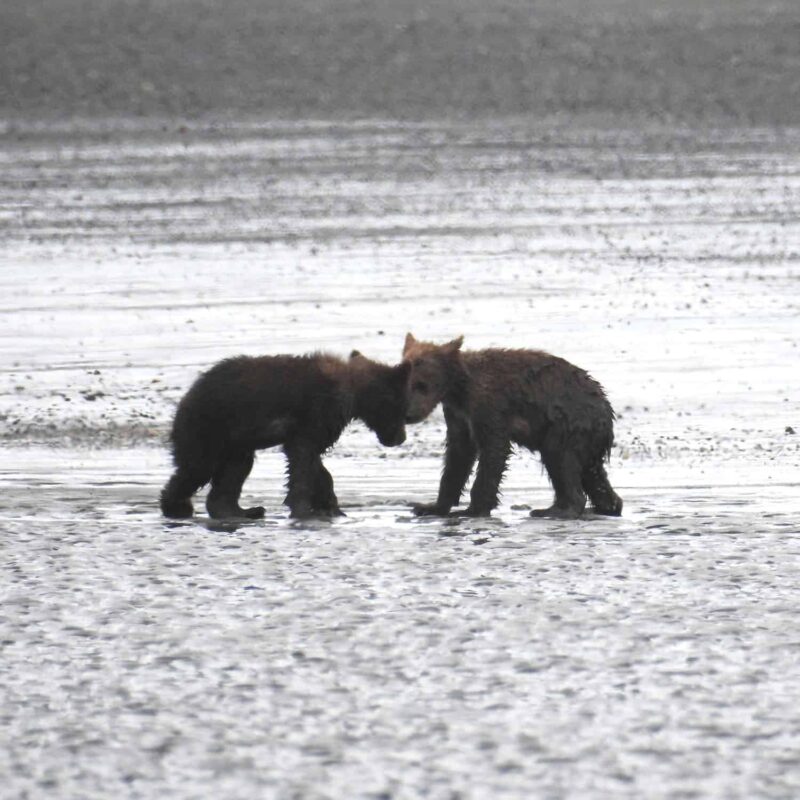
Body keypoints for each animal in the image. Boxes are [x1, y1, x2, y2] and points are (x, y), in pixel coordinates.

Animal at [160, 351, 410, 520]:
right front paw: (306, 508)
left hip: (236, 444)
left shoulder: (312, 424)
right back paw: (178, 506)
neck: (354, 393)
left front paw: (330, 505)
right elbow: (303, 456)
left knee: (234, 471)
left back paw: (244, 511)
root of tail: (185, 398)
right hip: (208, 429)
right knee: (197, 468)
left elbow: (312, 461)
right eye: (403, 410)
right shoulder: (319, 410)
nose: (400, 438)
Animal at [402, 333, 622, 519]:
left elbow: (494, 449)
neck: (459, 389)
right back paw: (608, 505)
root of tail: (607, 411)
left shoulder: (489, 403)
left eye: (422, 385)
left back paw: (555, 510)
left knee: (560, 459)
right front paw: (430, 506)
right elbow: (458, 455)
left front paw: (472, 509)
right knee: (592, 473)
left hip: (568, 424)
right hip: (586, 437)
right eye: (404, 382)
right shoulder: (458, 415)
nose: (408, 414)